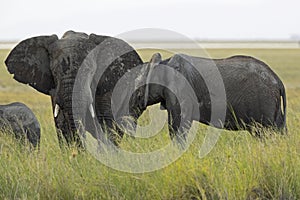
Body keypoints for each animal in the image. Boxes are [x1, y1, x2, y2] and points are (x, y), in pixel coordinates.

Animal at [126, 52, 286, 145]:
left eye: (138, 88)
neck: (163, 63)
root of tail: (278, 81)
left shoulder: (181, 91)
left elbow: (178, 125)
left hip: (264, 102)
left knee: (264, 133)